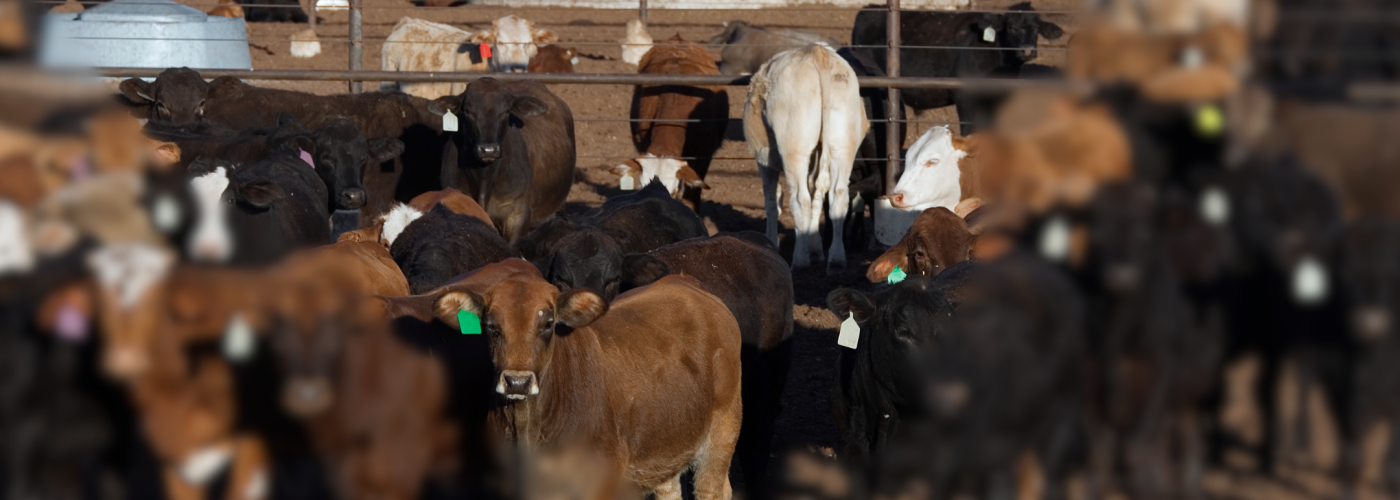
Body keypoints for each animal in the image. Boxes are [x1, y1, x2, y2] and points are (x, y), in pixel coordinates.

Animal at [744, 44, 868, 273]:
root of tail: (818, 53)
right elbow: (817, 196)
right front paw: (816, 249)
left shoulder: (764, 160)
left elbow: (771, 202)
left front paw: (772, 243)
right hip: (842, 145)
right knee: (838, 197)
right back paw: (836, 260)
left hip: (794, 148)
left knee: (800, 200)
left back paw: (800, 261)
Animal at [850, 2, 1065, 134]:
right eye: (1010, 27)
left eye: (1036, 28)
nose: (1027, 50)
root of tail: (869, 9)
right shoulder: (965, 97)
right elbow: (970, 132)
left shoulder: (993, 102)